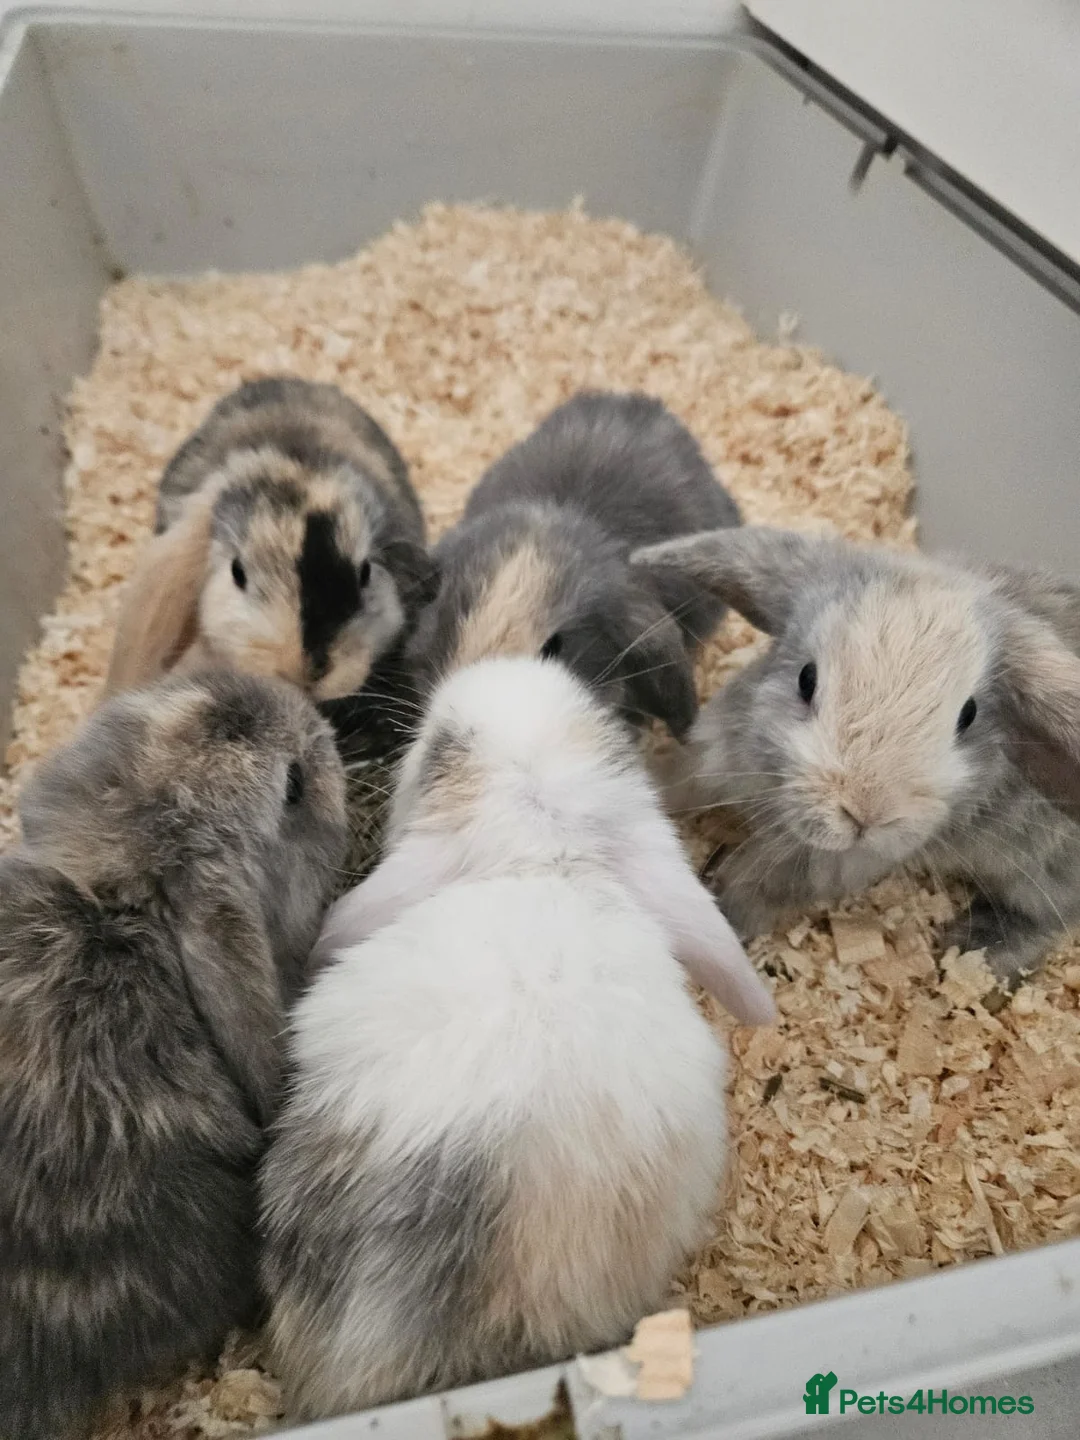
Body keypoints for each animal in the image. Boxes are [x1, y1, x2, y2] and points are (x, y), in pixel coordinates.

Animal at [632, 524, 1080, 988]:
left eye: (968, 715)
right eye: (806, 679)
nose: (865, 814)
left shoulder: (834, 861)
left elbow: (761, 882)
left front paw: (721, 913)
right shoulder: (715, 755)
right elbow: (678, 781)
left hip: (1043, 871)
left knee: (1051, 917)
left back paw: (980, 951)